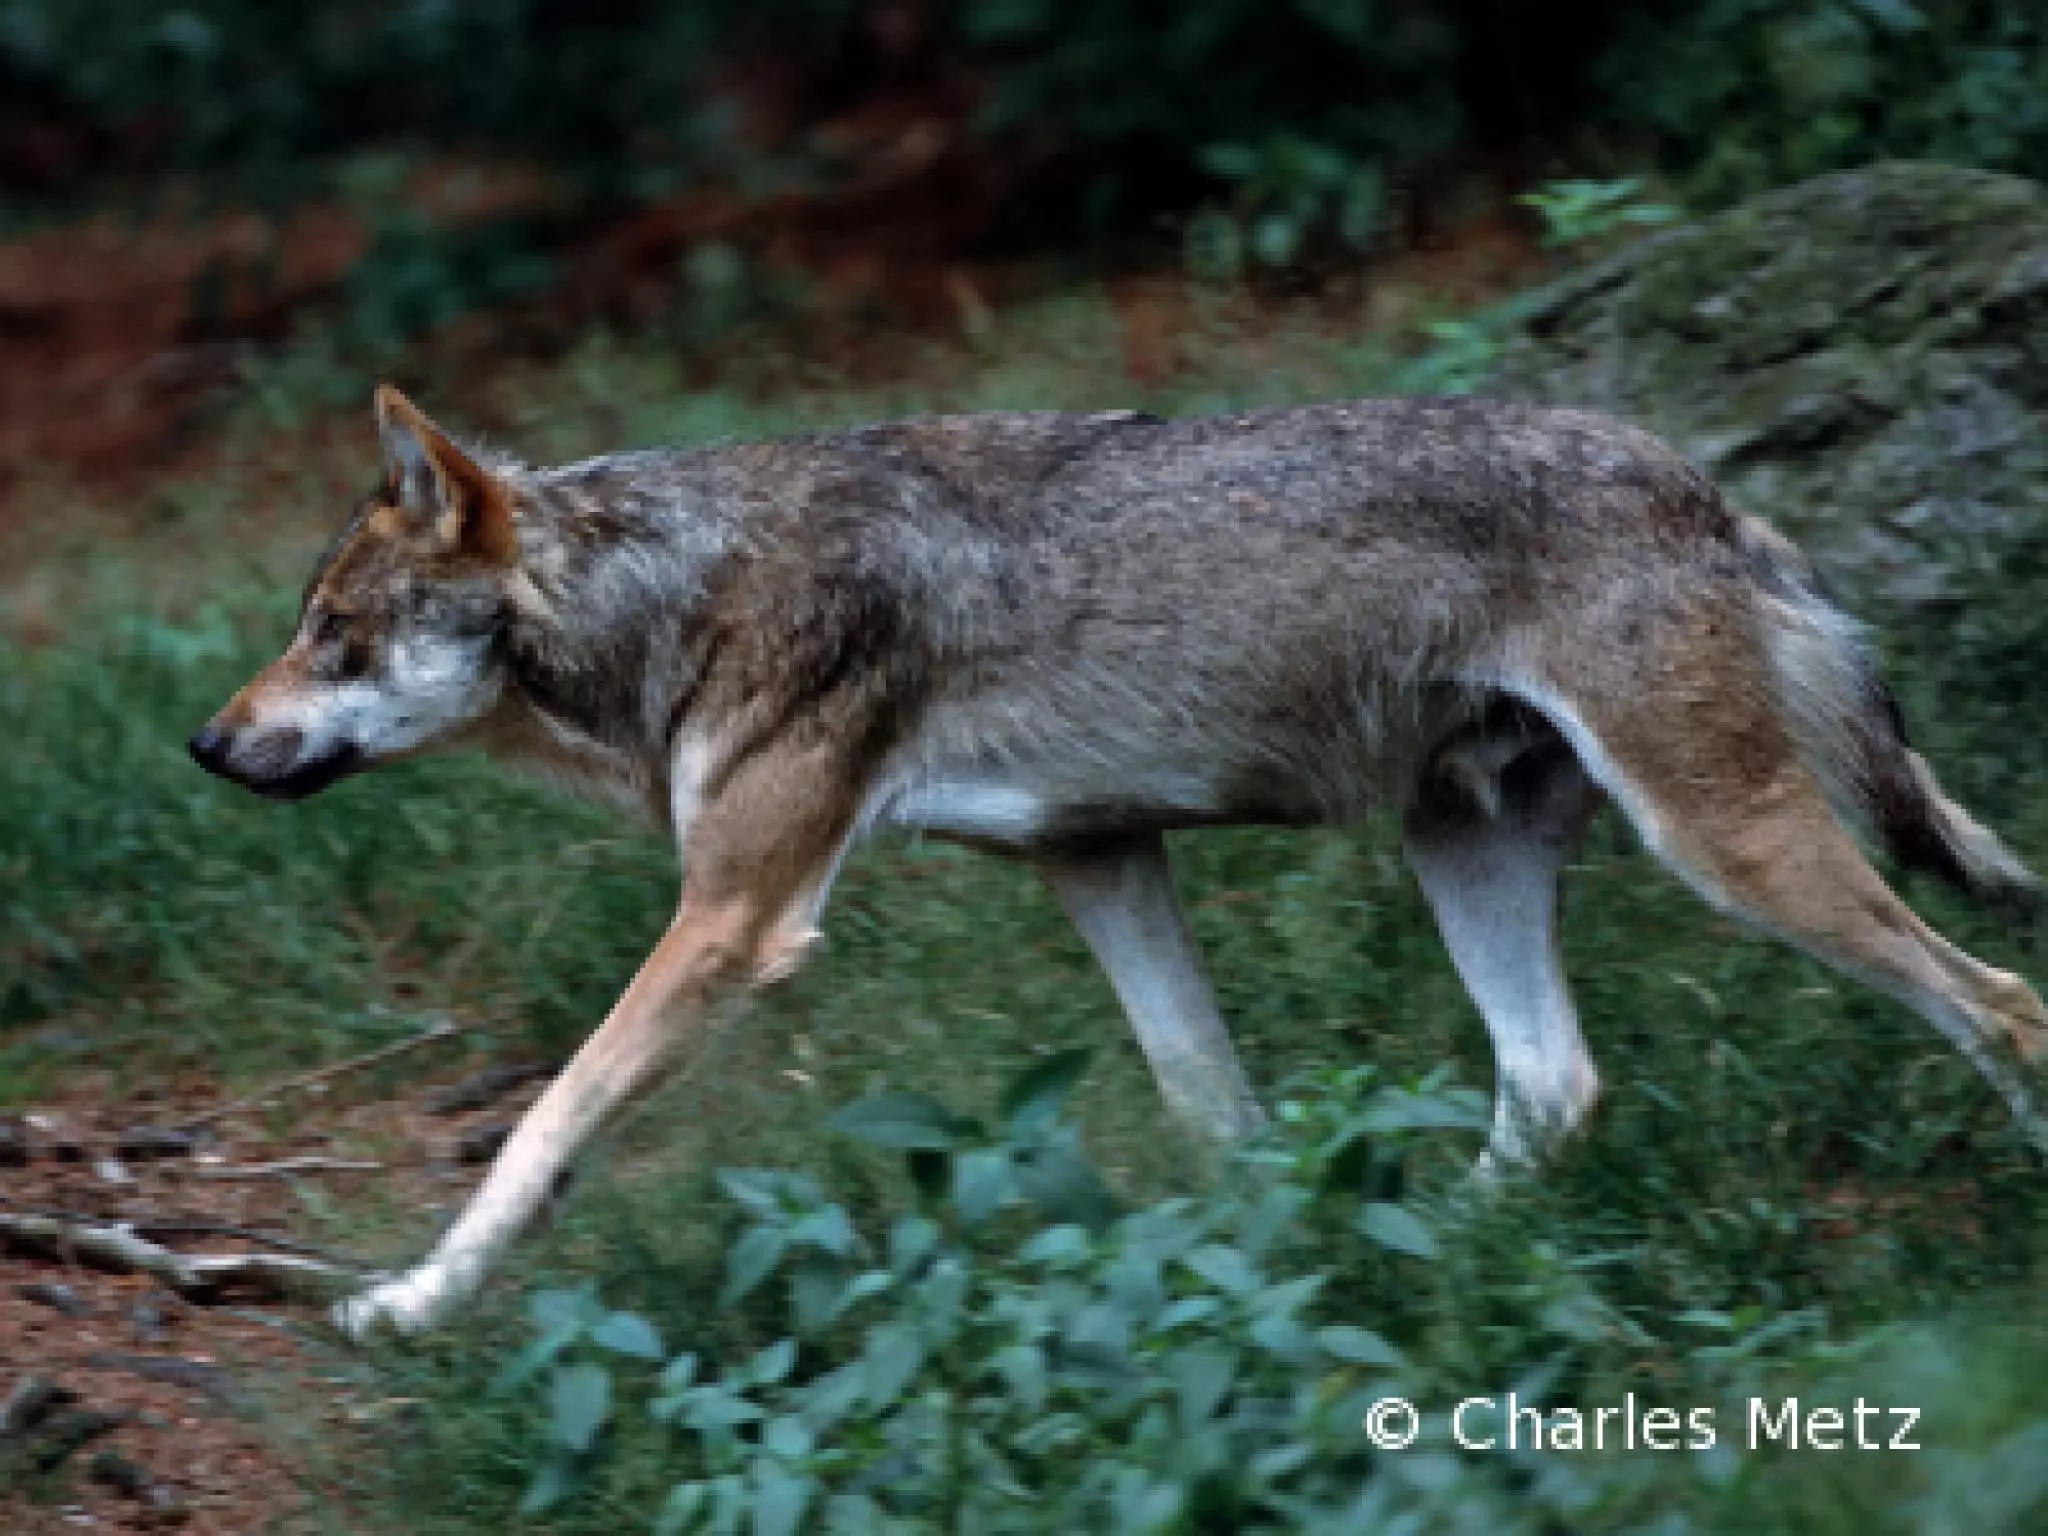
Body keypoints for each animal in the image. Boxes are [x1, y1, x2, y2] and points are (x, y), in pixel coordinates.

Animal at [190, 385, 2048, 1336]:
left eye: (334, 639)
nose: (206, 744)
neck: (672, 589)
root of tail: (1698, 482)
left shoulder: (733, 920)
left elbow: (546, 1126)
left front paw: (409, 1304)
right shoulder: (1100, 860)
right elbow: (1213, 1112)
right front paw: (1269, 1277)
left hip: (1727, 850)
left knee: (2004, 1001)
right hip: (1463, 855)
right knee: (1555, 1080)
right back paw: (1430, 1258)